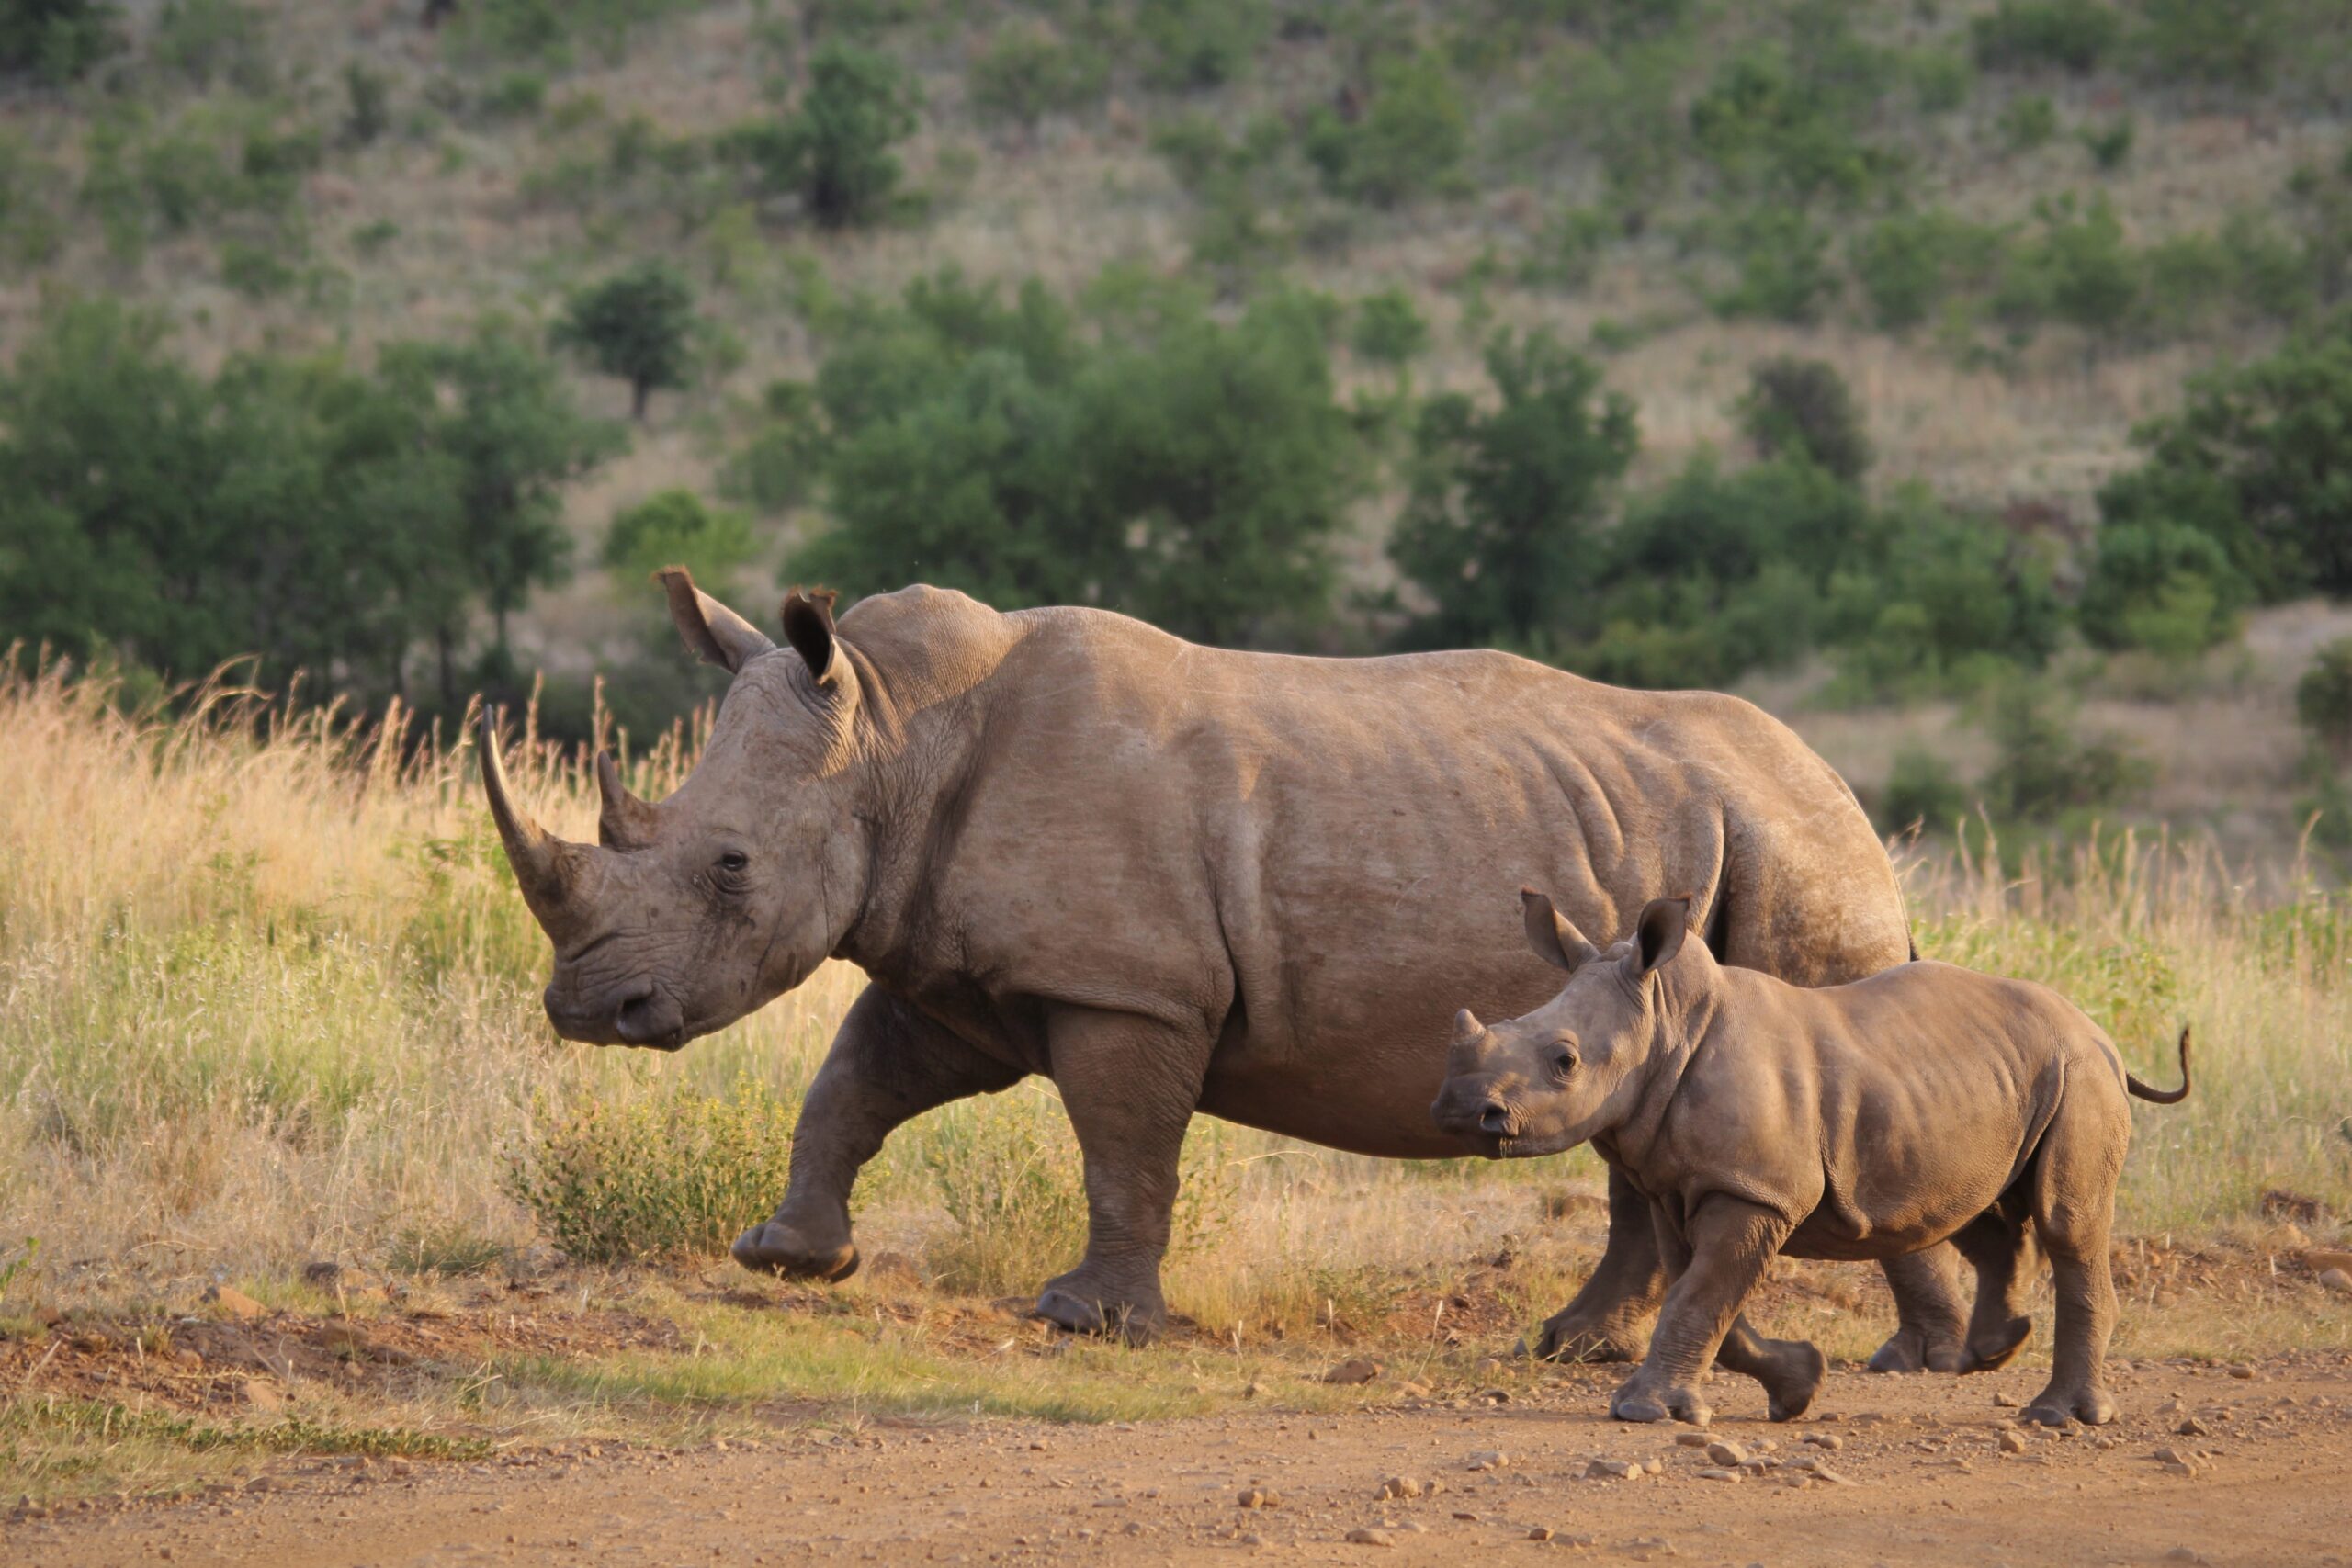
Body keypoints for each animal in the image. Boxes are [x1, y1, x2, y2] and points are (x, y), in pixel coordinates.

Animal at [478, 571, 1970, 1361]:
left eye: (730, 866)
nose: (588, 1008)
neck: (894, 735)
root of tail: (1847, 798)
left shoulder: (1126, 985)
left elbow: (1123, 1148)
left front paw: (1088, 1321)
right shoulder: (955, 965)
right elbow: (853, 1082)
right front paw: (790, 1257)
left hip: (1793, 857)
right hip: (1709, 851)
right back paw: (1584, 1345)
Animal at [1432, 890, 2192, 1428]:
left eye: (1565, 1061)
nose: (1460, 1109)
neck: (1666, 1019)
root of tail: (2101, 1032)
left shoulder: (1755, 1189)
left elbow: (1699, 1294)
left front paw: (1641, 1410)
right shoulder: (1684, 1186)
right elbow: (1704, 1296)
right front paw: (1798, 1385)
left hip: (2080, 1074)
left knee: (2067, 1219)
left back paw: (2057, 1415)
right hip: (1994, 1079)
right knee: (1972, 1206)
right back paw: (1993, 1350)